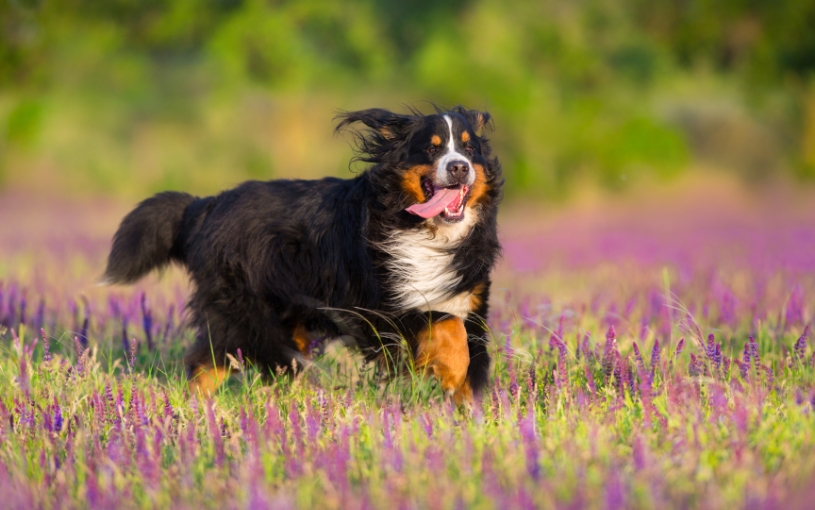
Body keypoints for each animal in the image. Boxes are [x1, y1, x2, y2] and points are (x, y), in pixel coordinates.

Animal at [103, 106, 504, 402]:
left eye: (469, 148)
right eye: (432, 148)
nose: (459, 167)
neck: (428, 232)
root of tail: (207, 204)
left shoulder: (470, 301)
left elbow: (466, 348)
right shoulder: (384, 307)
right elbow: (443, 324)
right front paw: (451, 373)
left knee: (222, 364)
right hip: (247, 315)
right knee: (226, 361)